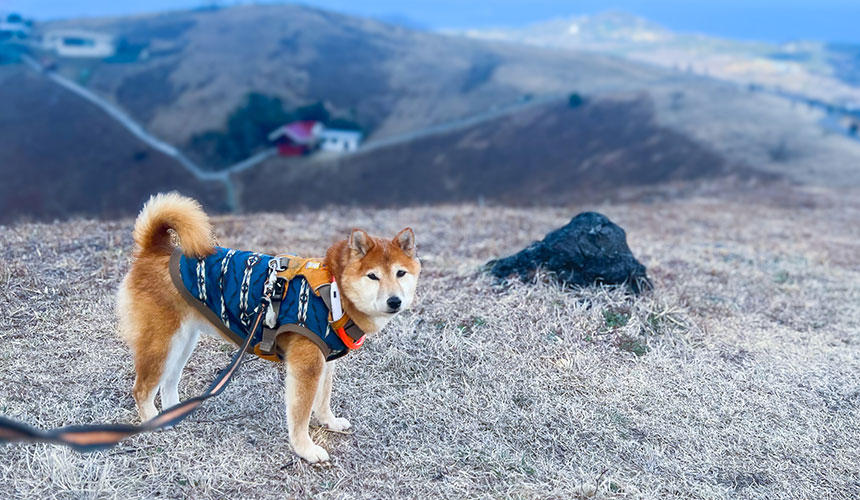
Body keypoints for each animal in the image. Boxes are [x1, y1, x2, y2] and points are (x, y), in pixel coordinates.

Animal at [116, 193, 420, 462]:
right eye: (372, 276)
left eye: (400, 273)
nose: (395, 301)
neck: (332, 292)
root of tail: (155, 249)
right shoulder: (306, 366)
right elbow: (300, 413)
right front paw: (305, 449)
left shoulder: (325, 361)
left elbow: (323, 400)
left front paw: (329, 422)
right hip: (161, 342)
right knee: (142, 390)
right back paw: (154, 423)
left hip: (182, 341)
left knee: (168, 383)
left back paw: (173, 414)